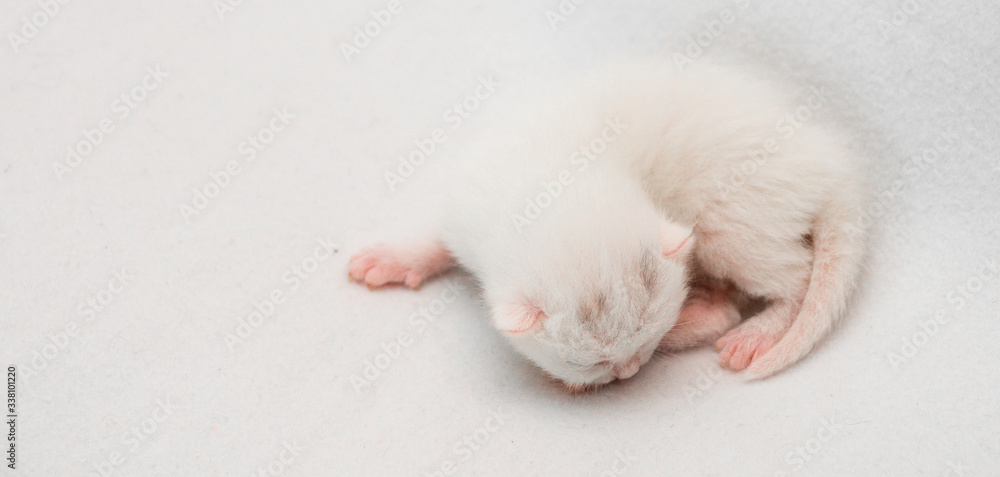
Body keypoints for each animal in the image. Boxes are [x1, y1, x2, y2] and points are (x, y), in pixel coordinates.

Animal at [352, 61, 868, 390]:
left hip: (738, 221)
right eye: (590, 363)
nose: (630, 373)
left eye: (647, 341)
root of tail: (831, 164)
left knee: (789, 281)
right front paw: (393, 258)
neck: (553, 182)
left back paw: (751, 332)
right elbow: (437, 237)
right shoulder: (468, 204)